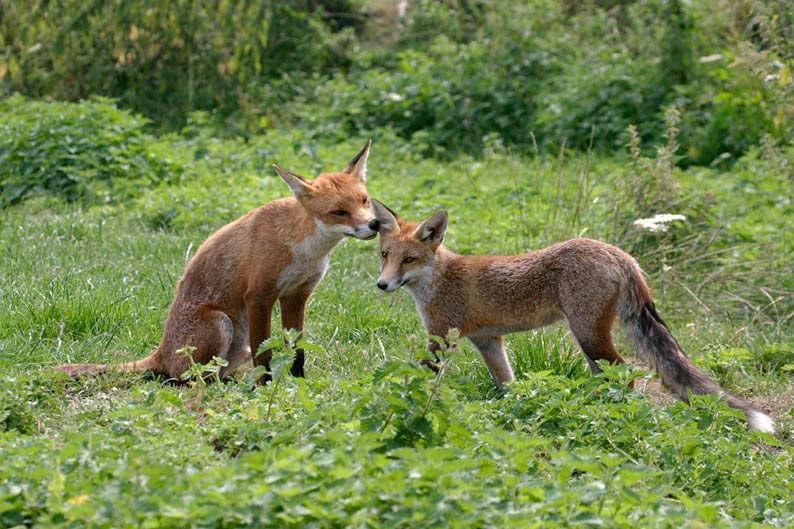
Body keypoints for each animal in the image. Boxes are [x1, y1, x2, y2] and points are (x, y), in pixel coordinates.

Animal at [54, 141, 380, 382]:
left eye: (364, 200)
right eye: (338, 212)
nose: (375, 224)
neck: (305, 249)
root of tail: (160, 352)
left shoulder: (297, 295)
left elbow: (297, 351)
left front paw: (300, 384)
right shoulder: (259, 296)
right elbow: (265, 355)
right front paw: (265, 389)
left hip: (238, 346)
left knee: (212, 372)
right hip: (221, 323)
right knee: (184, 377)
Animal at [370, 199, 775, 433]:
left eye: (408, 260)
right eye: (384, 255)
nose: (381, 285)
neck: (439, 280)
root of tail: (620, 254)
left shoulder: (441, 338)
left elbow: (421, 380)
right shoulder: (488, 340)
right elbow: (508, 385)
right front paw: (517, 412)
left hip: (588, 335)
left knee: (627, 374)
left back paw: (608, 412)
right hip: (590, 342)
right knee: (609, 376)